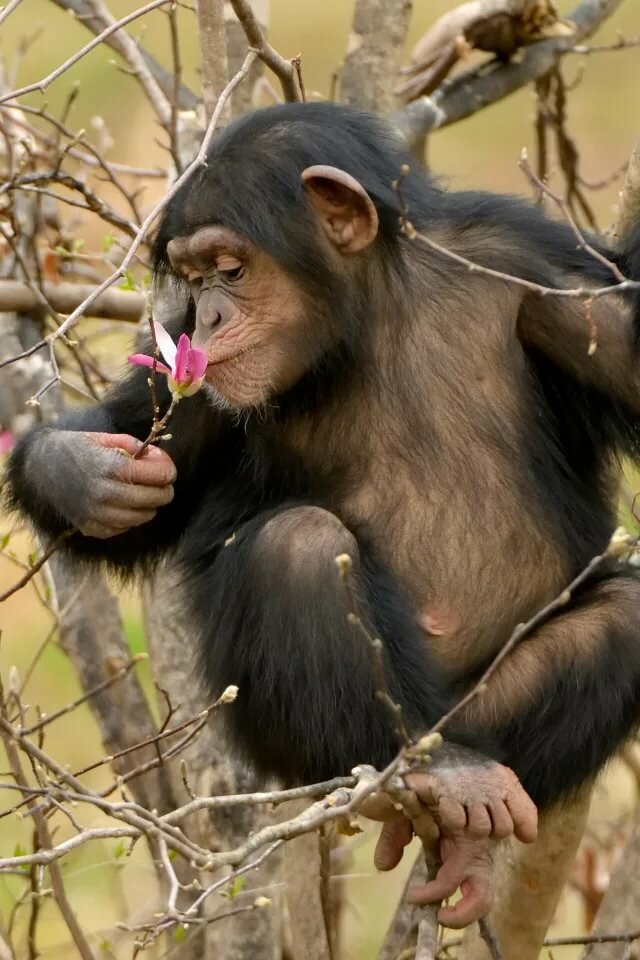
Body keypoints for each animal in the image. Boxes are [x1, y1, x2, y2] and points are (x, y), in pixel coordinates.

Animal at [5, 103, 640, 941]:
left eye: (230, 268)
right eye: (194, 278)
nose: (209, 313)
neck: (367, 317)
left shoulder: (540, 269)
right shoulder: (190, 370)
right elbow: (151, 448)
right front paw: (80, 472)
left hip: (479, 707)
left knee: (625, 614)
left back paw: (461, 816)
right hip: (295, 739)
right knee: (297, 545)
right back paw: (441, 781)